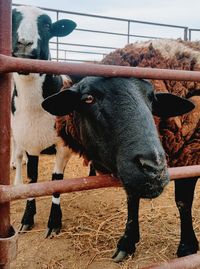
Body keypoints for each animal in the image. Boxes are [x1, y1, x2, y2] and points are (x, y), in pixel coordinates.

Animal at [11, 5, 76, 236]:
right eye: (11, 19)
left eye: (47, 25)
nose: (24, 43)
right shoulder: (31, 144)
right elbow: (33, 179)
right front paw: (27, 218)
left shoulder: (62, 146)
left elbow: (56, 181)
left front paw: (54, 222)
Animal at [41, 74, 194, 260]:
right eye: (88, 99)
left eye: (152, 98)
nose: (155, 169)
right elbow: (133, 199)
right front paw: (128, 242)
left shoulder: (190, 156)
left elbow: (183, 202)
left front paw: (188, 246)